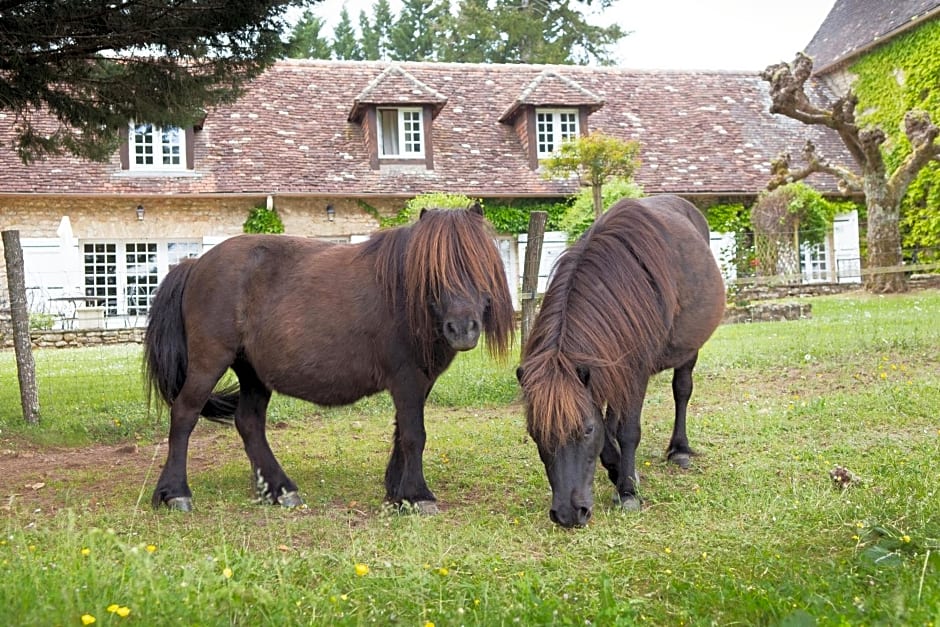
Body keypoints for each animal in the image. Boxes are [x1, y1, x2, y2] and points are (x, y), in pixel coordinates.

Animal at [145, 206, 516, 516]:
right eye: (433, 271)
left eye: (480, 264)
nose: (463, 328)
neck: (404, 295)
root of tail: (195, 265)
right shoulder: (407, 379)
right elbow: (414, 435)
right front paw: (417, 495)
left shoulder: (419, 383)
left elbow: (402, 433)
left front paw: (397, 494)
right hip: (209, 362)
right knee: (184, 415)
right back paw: (175, 493)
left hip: (253, 372)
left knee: (249, 422)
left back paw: (280, 490)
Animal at [516, 196, 728, 528]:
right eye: (536, 433)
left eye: (586, 430)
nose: (567, 514)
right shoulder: (606, 371)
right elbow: (609, 428)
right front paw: (619, 473)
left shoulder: (635, 373)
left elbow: (627, 431)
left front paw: (627, 491)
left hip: (689, 349)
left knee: (682, 390)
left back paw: (679, 450)